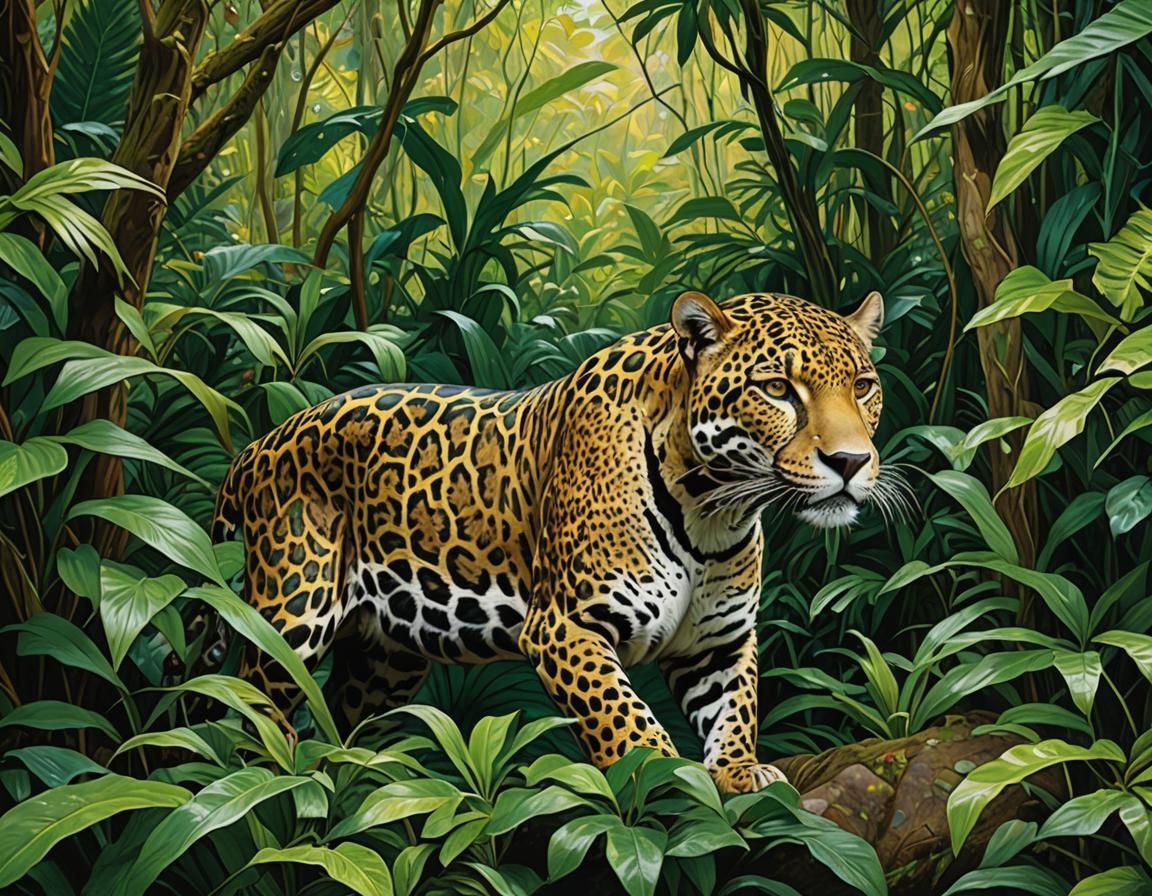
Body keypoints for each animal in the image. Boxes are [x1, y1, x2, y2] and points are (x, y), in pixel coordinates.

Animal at [211, 290, 890, 793]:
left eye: (861, 386)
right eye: (777, 389)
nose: (851, 461)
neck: (713, 507)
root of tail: (258, 444)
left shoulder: (717, 642)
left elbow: (735, 709)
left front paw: (740, 772)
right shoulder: (564, 626)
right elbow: (626, 722)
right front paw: (663, 778)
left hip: (385, 660)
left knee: (342, 717)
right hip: (292, 611)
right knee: (246, 702)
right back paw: (270, 771)